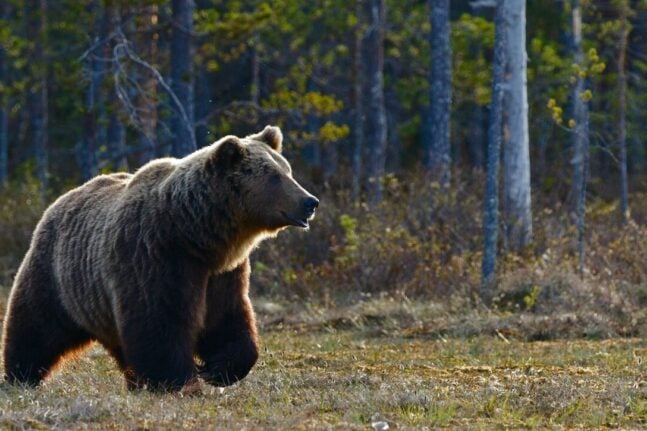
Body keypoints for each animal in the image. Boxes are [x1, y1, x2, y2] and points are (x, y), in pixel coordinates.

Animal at [0, 126, 318, 394]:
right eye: (274, 176)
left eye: (287, 170)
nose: (310, 201)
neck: (197, 235)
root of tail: (60, 200)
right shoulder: (156, 256)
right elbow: (160, 322)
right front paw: (179, 381)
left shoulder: (223, 273)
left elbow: (227, 318)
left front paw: (217, 370)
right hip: (58, 276)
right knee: (36, 326)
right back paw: (21, 376)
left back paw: (134, 381)